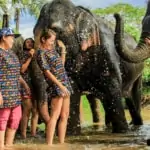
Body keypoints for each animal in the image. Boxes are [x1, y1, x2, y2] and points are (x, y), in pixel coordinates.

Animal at [33, 0, 144, 134]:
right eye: (34, 32)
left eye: (57, 31)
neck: (79, 10)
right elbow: (72, 92)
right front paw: (72, 134)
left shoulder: (106, 51)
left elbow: (112, 89)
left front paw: (122, 132)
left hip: (139, 73)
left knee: (134, 95)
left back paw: (137, 126)